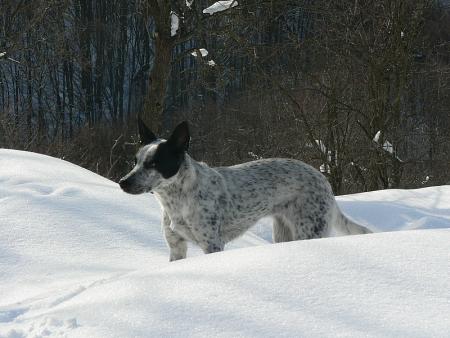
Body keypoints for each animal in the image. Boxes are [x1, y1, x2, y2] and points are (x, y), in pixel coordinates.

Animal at [118, 119, 370, 262]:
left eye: (154, 163)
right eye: (135, 161)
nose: (123, 182)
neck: (176, 202)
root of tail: (322, 179)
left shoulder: (212, 244)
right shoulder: (176, 247)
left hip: (310, 230)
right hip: (283, 232)